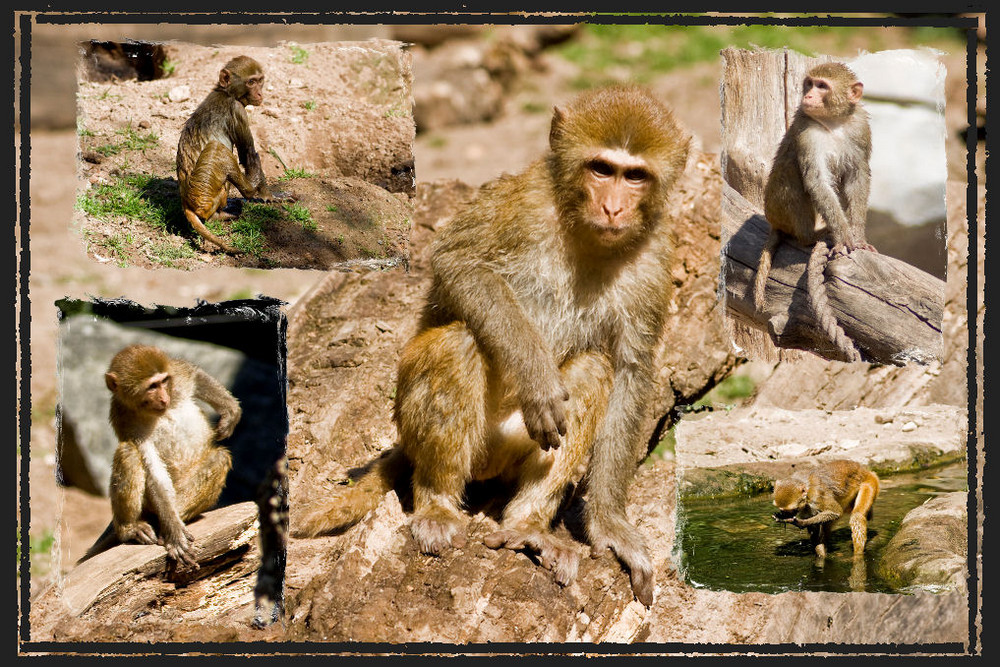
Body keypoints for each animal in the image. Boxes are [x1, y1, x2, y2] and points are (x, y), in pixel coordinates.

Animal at [80, 344, 240, 568]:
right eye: (151, 387)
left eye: (163, 381)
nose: (164, 398)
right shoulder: (126, 420)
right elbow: (153, 470)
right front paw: (174, 532)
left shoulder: (176, 380)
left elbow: (194, 373)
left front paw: (230, 410)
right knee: (129, 452)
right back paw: (130, 528)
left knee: (219, 458)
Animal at [292, 86, 692, 608]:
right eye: (602, 169)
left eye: (636, 176)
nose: (613, 209)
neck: (586, 234)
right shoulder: (522, 200)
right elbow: (461, 264)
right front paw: (538, 377)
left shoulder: (655, 256)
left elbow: (629, 370)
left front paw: (608, 524)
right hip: (436, 432)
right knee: (458, 345)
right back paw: (438, 504)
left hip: (511, 449)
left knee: (592, 371)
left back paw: (527, 525)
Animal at [756, 62, 876, 314]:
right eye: (810, 84)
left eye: (822, 86)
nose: (808, 96)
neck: (834, 123)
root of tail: (774, 221)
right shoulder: (806, 131)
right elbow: (817, 181)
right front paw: (843, 237)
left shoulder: (860, 127)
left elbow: (857, 177)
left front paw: (858, 234)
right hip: (778, 209)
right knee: (792, 177)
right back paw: (810, 236)